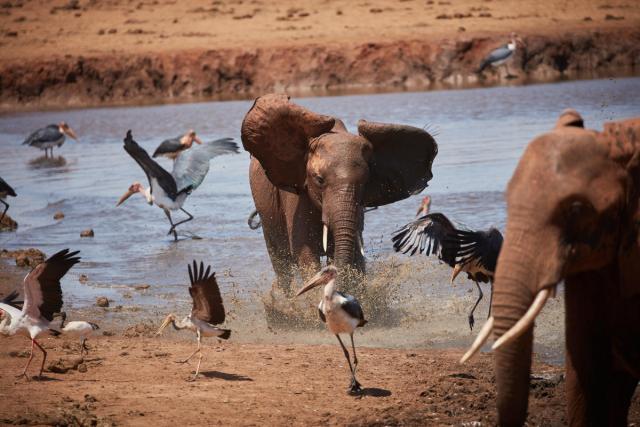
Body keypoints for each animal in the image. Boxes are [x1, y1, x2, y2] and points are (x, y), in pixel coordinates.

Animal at [241, 93, 438, 294]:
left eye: (366, 182)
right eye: (319, 180)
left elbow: (353, 252)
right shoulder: (296, 198)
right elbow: (305, 254)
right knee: (281, 265)